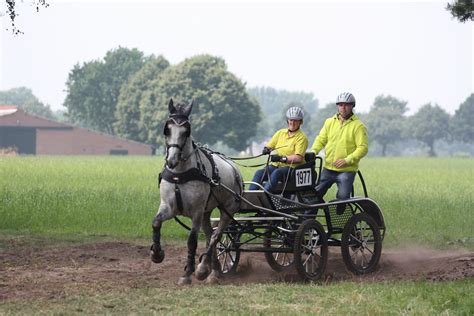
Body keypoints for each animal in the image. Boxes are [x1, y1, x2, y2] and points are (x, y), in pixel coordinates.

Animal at [150, 98, 243, 284]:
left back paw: (203, 269)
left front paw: (187, 273)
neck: (179, 174)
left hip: (227, 209)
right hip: (207, 212)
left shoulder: (196, 212)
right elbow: (156, 222)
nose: (171, 160)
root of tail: (234, 168)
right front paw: (157, 254)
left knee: (215, 237)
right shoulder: (168, 207)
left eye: (186, 131)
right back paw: (213, 270)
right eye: (167, 129)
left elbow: (191, 240)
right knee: (209, 234)